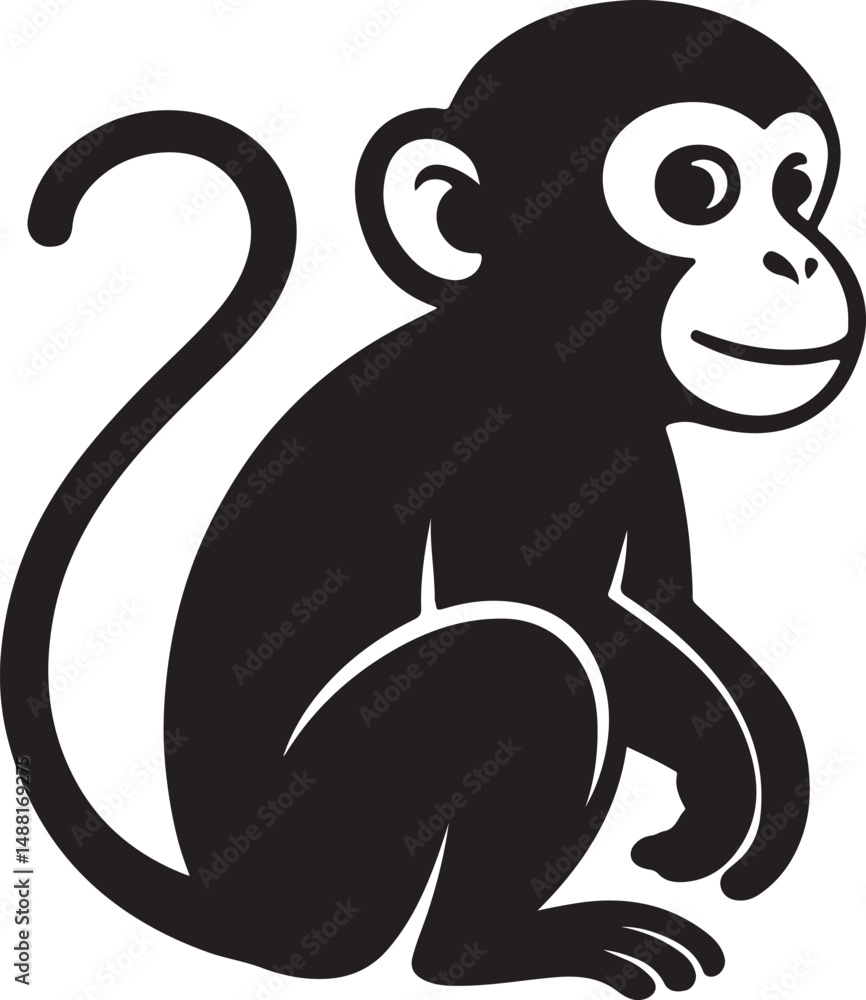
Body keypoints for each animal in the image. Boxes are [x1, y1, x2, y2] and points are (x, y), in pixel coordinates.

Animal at [2, 3, 863, 997]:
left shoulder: (638, 446)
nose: (796, 258)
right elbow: (561, 611)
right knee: (522, 659)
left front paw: (758, 782)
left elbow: (659, 603)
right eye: (698, 187)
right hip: (330, 840)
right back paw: (483, 949)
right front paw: (716, 779)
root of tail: (232, 904)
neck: (551, 356)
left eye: (796, 188)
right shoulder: (507, 442)